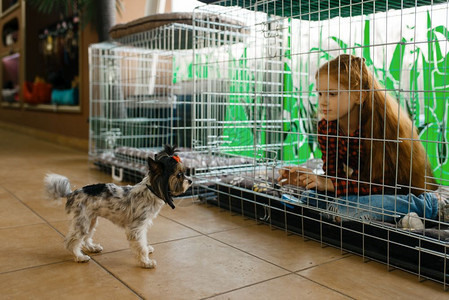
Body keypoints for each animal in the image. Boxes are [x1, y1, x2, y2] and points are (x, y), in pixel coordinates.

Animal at [44, 145, 192, 268]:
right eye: (179, 175)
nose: (190, 180)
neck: (151, 190)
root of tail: (72, 193)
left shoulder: (142, 227)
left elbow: (143, 242)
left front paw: (147, 251)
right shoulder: (136, 228)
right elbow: (141, 246)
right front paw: (146, 262)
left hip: (91, 220)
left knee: (86, 238)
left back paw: (92, 247)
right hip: (83, 221)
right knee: (71, 241)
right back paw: (79, 257)